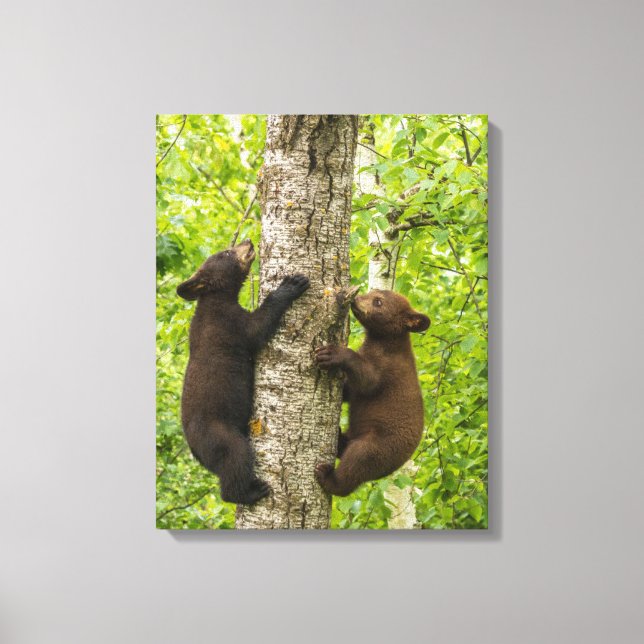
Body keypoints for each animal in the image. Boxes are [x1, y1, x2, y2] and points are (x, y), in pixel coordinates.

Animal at [177, 239, 309, 505]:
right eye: (226, 253)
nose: (247, 241)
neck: (215, 299)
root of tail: (195, 452)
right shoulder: (229, 324)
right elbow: (257, 328)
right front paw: (291, 284)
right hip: (220, 435)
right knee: (235, 458)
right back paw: (251, 492)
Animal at [314, 289, 430, 497]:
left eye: (378, 302)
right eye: (372, 291)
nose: (356, 299)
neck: (384, 342)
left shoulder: (389, 368)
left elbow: (368, 380)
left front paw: (332, 354)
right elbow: (350, 390)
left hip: (380, 446)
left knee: (357, 461)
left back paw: (328, 477)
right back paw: (340, 438)